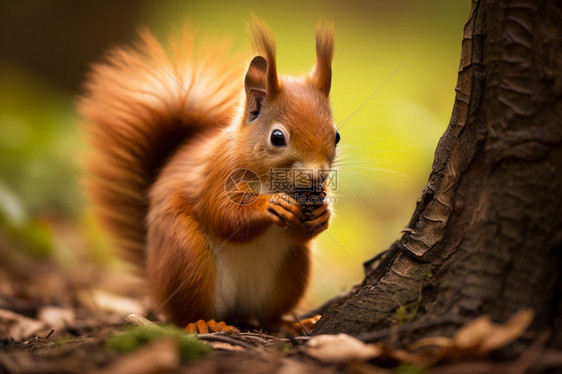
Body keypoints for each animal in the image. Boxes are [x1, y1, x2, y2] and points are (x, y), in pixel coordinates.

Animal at [79, 19, 336, 332]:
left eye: (336, 135)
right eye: (277, 137)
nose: (318, 176)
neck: (271, 179)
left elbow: (302, 233)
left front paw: (322, 213)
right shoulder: (216, 174)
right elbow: (223, 215)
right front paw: (271, 204)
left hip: (291, 272)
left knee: (267, 314)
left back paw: (289, 323)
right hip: (186, 256)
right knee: (184, 314)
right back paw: (203, 323)